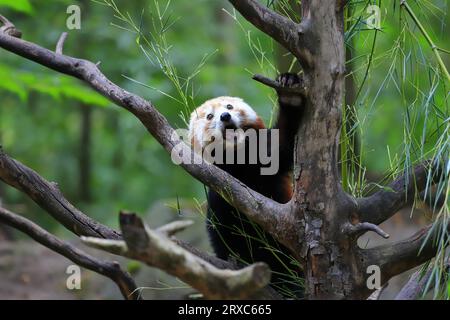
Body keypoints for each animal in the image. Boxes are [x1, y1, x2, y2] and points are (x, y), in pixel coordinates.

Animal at [188, 73, 304, 298]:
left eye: (229, 106)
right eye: (209, 116)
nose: (225, 116)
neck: (239, 160)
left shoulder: (266, 160)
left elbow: (283, 141)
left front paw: (290, 90)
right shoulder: (219, 196)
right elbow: (221, 232)